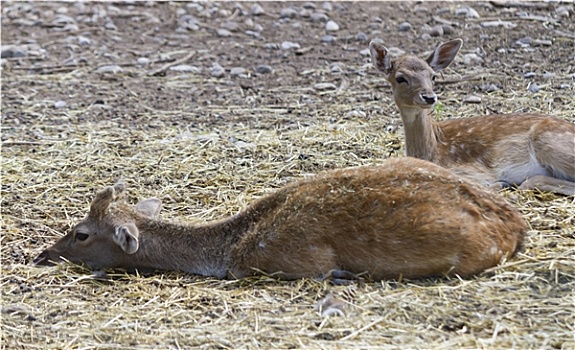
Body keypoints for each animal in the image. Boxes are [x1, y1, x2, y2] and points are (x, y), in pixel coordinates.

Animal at [368, 39, 575, 197]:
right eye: (400, 78)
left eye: (433, 76)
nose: (429, 97)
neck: (432, 152)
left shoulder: (473, 172)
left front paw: (500, 184)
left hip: (550, 144)